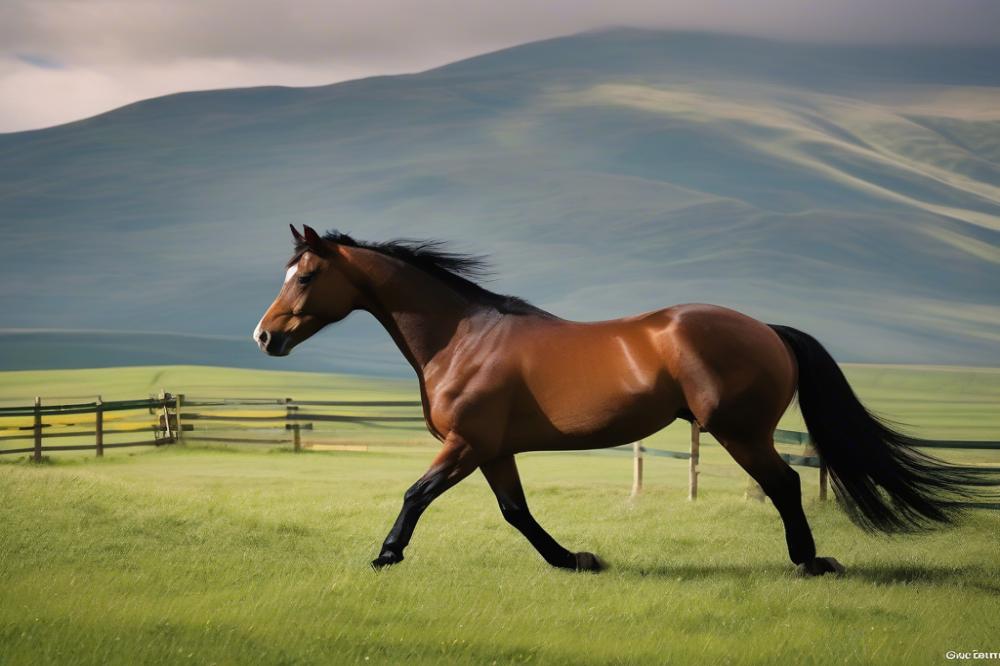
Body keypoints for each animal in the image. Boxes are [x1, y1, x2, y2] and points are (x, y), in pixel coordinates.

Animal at [253, 225, 987, 576]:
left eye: (307, 276)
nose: (265, 336)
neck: (462, 338)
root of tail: (768, 330)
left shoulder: (464, 444)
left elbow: (415, 494)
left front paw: (385, 555)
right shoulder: (492, 449)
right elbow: (517, 512)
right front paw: (576, 559)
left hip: (739, 431)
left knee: (784, 486)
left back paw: (810, 563)